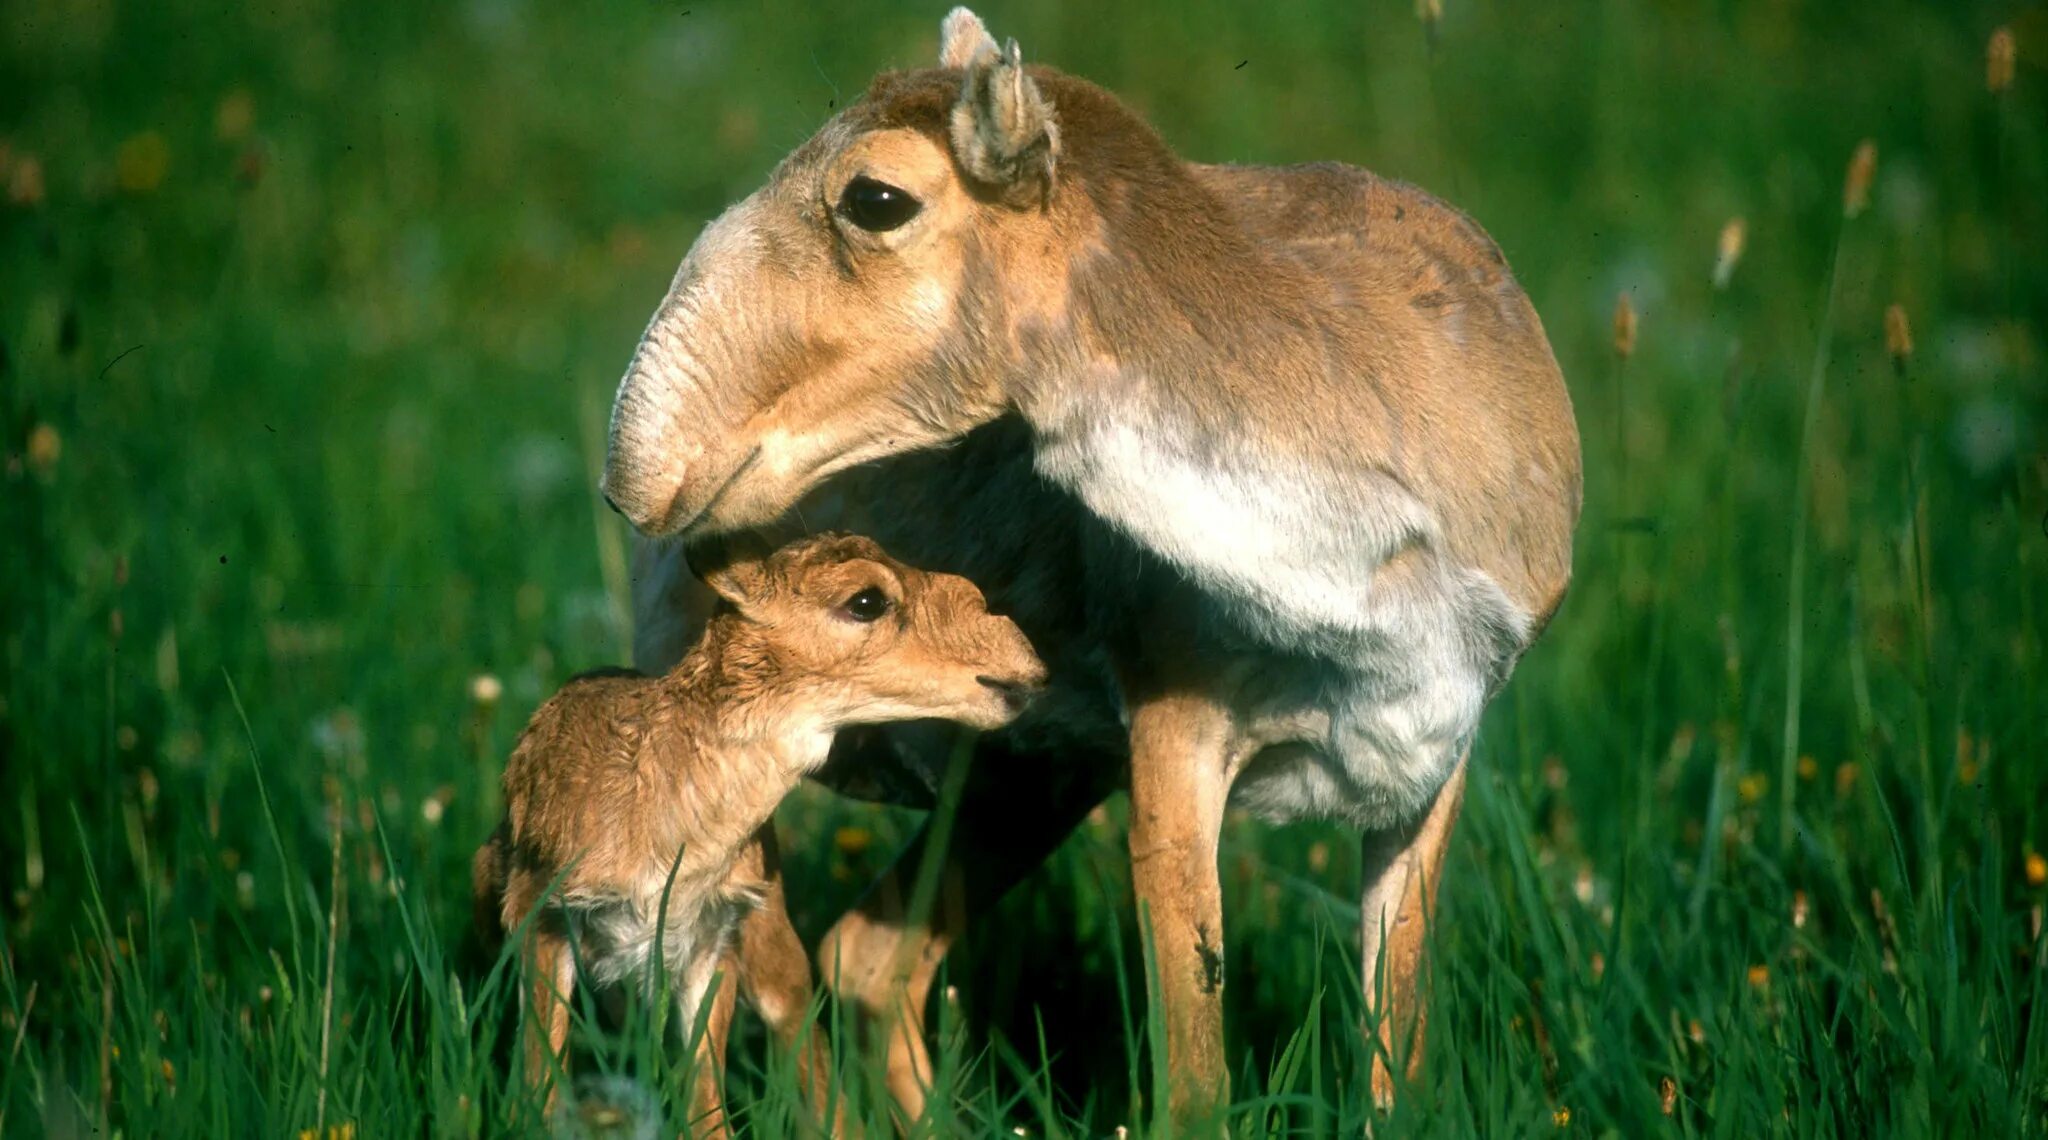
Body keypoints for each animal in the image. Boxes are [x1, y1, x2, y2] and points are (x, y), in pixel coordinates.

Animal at [598, 6, 1572, 1121]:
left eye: (875, 197)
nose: (640, 469)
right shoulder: (1173, 743)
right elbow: (1193, 1081)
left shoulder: (1430, 763)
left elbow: (1394, 1061)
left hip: (1028, 779)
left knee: (867, 958)